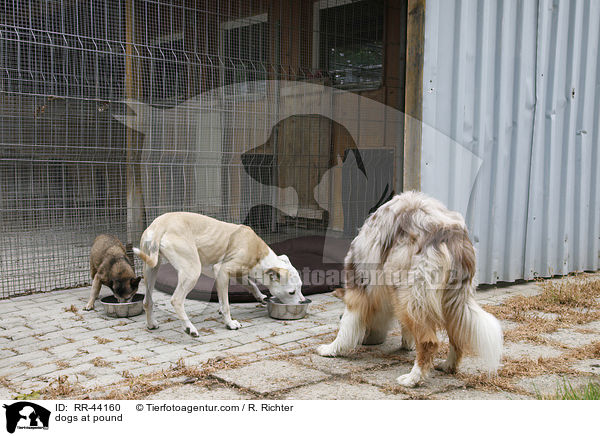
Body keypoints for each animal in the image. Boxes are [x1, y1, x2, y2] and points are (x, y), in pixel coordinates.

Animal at [134, 213, 302, 336]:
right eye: (291, 292)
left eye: (301, 287)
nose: (302, 302)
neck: (258, 252)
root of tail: (161, 225)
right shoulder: (223, 271)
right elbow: (226, 304)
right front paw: (230, 323)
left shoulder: (237, 274)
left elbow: (250, 285)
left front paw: (260, 296)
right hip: (191, 271)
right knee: (176, 300)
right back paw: (189, 328)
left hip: (151, 269)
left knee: (147, 301)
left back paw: (151, 324)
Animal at [316, 192, 504, 386]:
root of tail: (450, 234)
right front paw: (407, 343)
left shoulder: (360, 288)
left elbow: (347, 326)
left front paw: (331, 349)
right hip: (447, 300)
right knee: (457, 334)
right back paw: (447, 366)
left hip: (411, 292)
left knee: (429, 341)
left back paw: (413, 378)